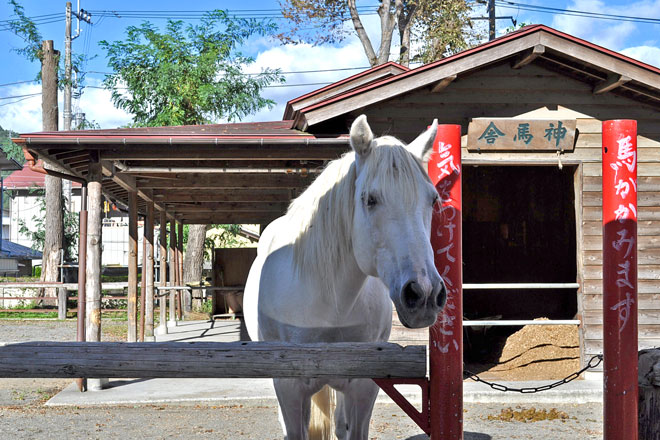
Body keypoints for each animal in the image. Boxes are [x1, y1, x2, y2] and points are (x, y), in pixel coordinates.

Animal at [245, 115, 446, 438]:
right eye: (370, 199)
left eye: (432, 200)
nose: (425, 293)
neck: (329, 304)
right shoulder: (289, 387)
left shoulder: (365, 387)